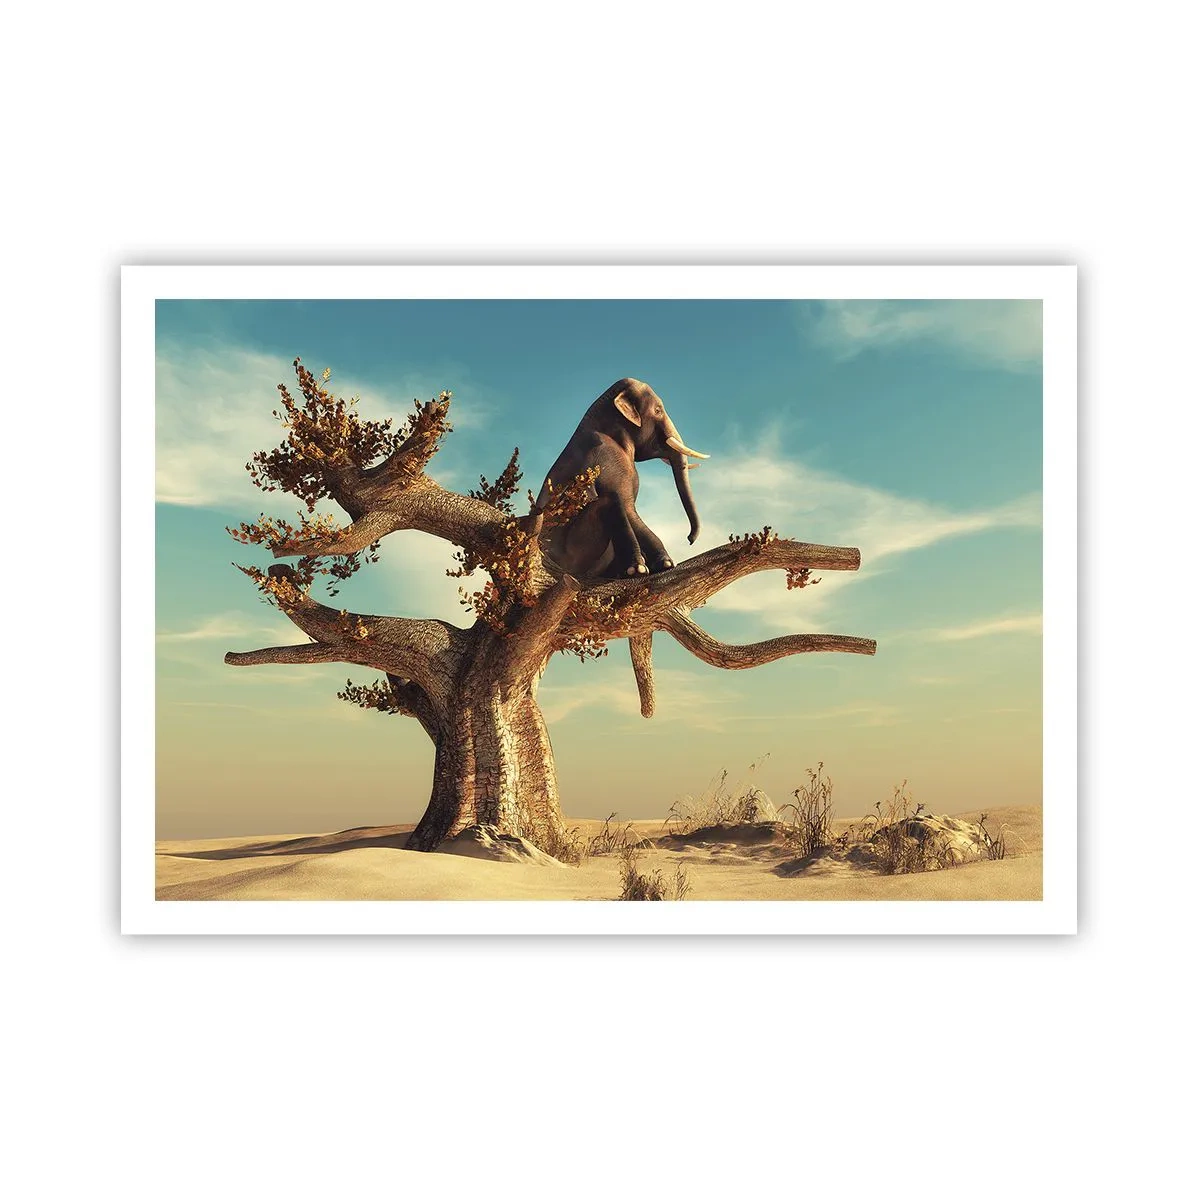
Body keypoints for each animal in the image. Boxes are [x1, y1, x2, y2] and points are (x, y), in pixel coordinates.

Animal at [535, 378, 709, 580]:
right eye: (658, 410)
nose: (689, 539)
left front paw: (660, 565)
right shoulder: (609, 461)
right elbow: (628, 507)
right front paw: (662, 565)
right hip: (573, 552)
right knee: (609, 502)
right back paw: (633, 569)